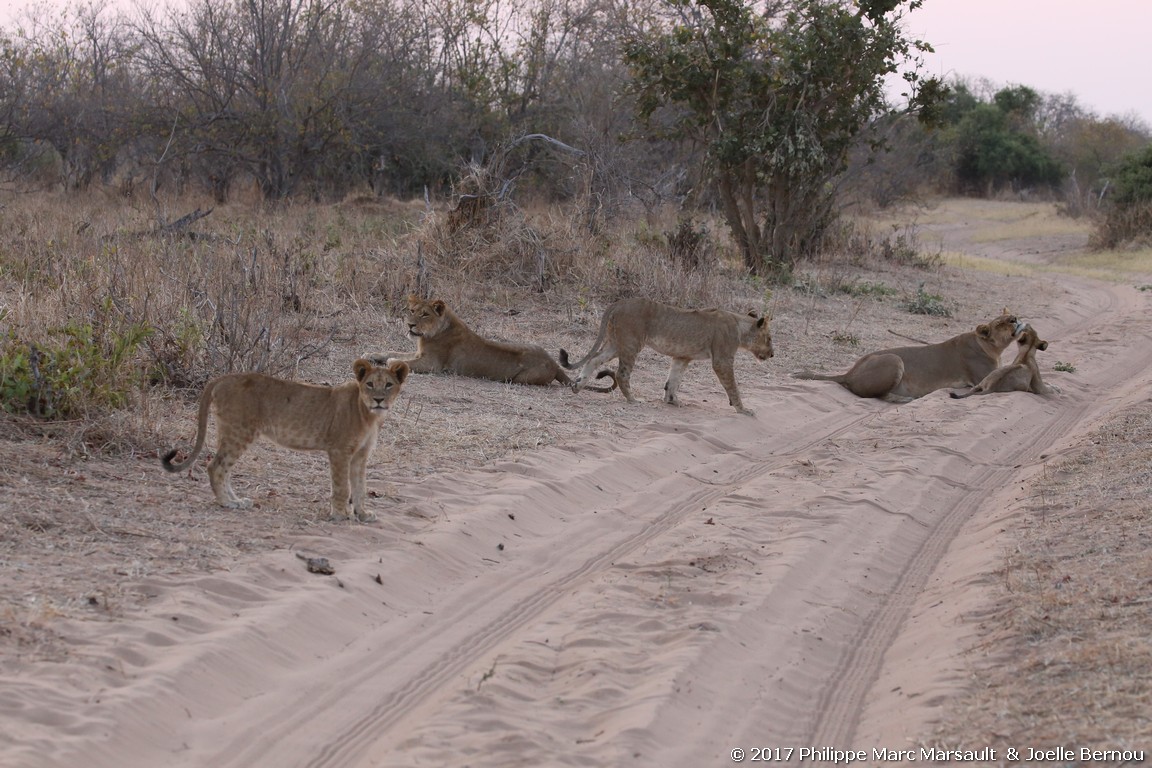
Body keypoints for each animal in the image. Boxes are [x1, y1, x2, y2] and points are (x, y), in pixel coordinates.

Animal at [163, 361, 410, 522]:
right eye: (370, 384)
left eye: (388, 384)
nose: (378, 400)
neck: (369, 415)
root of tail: (223, 377)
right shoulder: (339, 451)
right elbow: (342, 486)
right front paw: (341, 515)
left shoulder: (360, 455)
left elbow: (360, 486)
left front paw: (363, 514)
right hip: (240, 431)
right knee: (215, 466)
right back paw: (227, 503)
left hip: (230, 432)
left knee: (224, 469)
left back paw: (238, 501)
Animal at [370, 294, 617, 391]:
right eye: (411, 311)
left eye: (424, 314)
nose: (410, 325)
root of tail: (554, 362)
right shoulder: (418, 353)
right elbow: (393, 351)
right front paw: (371, 355)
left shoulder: (432, 365)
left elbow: (400, 360)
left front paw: (388, 363)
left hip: (521, 379)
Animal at [557, 297, 774, 414]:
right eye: (770, 338)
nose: (772, 354)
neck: (740, 326)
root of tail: (619, 302)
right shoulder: (722, 360)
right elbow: (733, 387)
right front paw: (743, 410)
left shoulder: (682, 357)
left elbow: (673, 380)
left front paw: (672, 401)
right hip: (631, 344)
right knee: (621, 374)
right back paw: (633, 399)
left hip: (615, 343)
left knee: (594, 359)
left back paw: (577, 386)